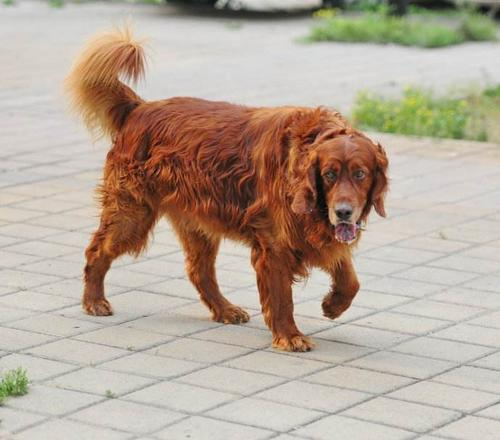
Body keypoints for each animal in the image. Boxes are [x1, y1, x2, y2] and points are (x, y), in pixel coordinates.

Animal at [65, 26, 386, 350]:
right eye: (329, 174)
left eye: (360, 174)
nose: (343, 212)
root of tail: (139, 109)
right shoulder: (275, 245)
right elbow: (282, 298)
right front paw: (289, 335)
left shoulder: (320, 235)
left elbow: (351, 279)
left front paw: (333, 305)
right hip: (132, 214)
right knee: (96, 251)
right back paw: (93, 301)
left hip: (196, 224)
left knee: (199, 271)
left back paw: (224, 309)